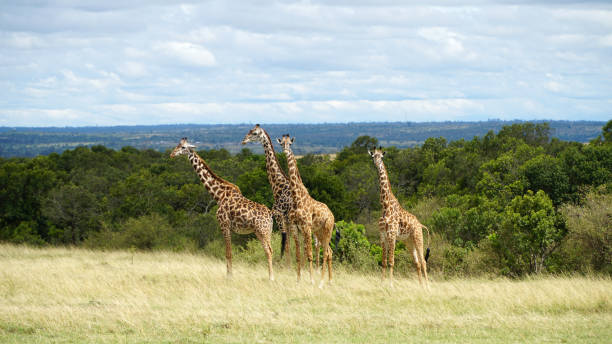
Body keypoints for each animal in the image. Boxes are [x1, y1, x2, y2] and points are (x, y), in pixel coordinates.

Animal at [170, 138, 274, 280]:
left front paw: (229, 276)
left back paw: (271, 278)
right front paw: (229, 275)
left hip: (263, 231)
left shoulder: (224, 225)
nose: (172, 154)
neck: (218, 195)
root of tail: (270, 214)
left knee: (269, 251)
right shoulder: (227, 227)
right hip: (263, 231)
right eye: (177, 145)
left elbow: (228, 253)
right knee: (269, 250)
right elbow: (228, 253)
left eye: (183, 147)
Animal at [240, 124, 296, 266]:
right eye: (249, 130)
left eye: (254, 133)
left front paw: (287, 266)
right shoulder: (285, 218)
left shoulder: (279, 215)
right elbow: (289, 242)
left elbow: (286, 243)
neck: (278, 186)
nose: (244, 140)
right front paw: (289, 265)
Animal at [278, 134, 334, 288]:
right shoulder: (295, 227)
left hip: (327, 229)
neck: (297, 199)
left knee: (326, 253)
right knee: (329, 251)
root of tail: (332, 214)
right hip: (319, 232)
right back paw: (330, 280)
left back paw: (321, 282)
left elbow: (309, 254)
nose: (285, 151)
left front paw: (311, 280)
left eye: (290, 143)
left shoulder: (306, 227)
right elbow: (298, 255)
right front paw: (298, 279)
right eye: (281, 143)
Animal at [368, 146, 430, 286]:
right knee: (417, 263)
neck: (385, 206)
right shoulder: (382, 235)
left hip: (418, 237)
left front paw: (390, 285)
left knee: (423, 262)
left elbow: (391, 262)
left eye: (381, 157)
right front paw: (382, 284)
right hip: (409, 241)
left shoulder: (392, 235)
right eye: (373, 156)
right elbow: (384, 262)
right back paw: (421, 286)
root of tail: (420, 224)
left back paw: (428, 287)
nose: (377, 163)